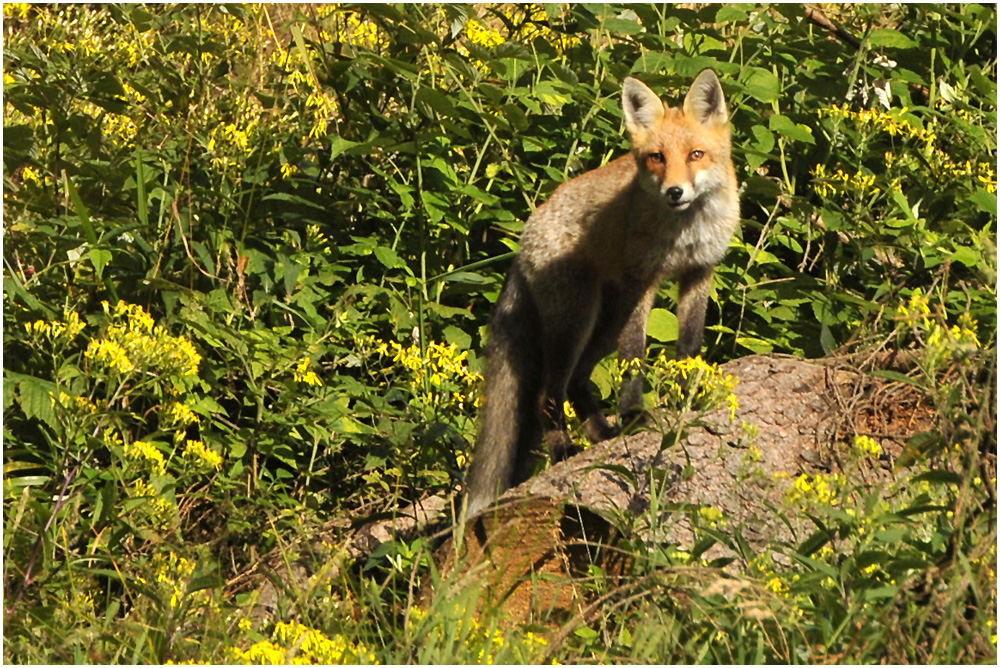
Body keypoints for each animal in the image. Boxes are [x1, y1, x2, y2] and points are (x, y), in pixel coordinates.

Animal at [464, 69, 740, 516]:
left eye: (696, 154)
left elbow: (690, 342)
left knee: (577, 382)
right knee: (547, 394)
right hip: (577, 320)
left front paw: (687, 392)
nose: (674, 192)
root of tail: (526, 236)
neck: (686, 231)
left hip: (603, 322)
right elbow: (635, 357)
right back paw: (564, 451)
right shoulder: (641, 280)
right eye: (656, 157)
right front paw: (634, 414)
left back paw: (602, 434)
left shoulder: (699, 272)